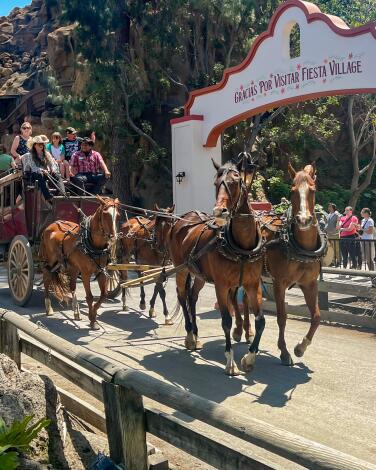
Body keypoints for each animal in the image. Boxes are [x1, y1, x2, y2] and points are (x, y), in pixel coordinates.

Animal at [39, 196, 119, 328]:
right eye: (105, 214)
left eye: (117, 215)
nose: (113, 237)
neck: (93, 245)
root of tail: (51, 225)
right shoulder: (86, 273)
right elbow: (90, 297)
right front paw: (92, 319)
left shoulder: (101, 271)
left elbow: (104, 295)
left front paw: (93, 315)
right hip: (51, 261)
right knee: (47, 278)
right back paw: (48, 308)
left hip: (73, 267)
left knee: (72, 286)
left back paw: (76, 312)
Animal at [158, 160, 264, 376]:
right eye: (216, 183)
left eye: (235, 181)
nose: (219, 211)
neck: (242, 247)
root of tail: (183, 219)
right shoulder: (221, 286)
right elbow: (226, 320)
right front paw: (230, 361)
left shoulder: (252, 284)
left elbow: (260, 320)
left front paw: (249, 358)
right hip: (181, 269)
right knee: (182, 295)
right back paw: (190, 336)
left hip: (199, 275)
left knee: (192, 297)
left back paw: (196, 334)